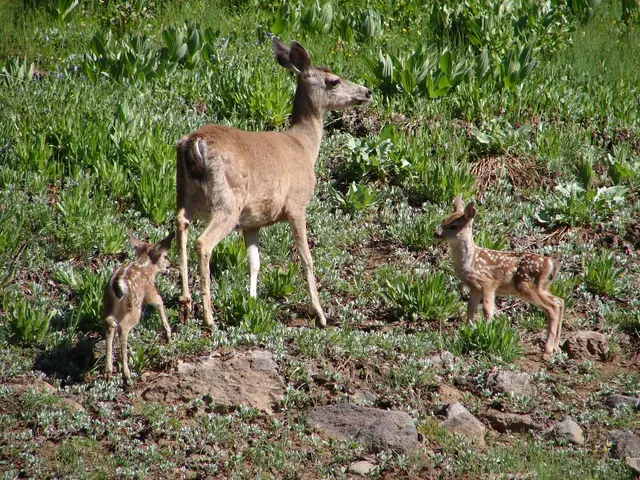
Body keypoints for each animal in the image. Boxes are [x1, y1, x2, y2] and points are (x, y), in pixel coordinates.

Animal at [103, 233, 174, 387]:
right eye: (165, 256)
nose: (169, 266)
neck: (147, 267)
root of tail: (117, 284)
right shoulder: (150, 291)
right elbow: (159, 302)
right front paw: (168, 334)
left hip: (108, 305)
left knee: (110, 323)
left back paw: (108, 371)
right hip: (134, 306)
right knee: (123, 327)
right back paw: (127, 374)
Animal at [175, 36, 372, 327]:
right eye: (334, 80)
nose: (367, 91)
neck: (304, 146)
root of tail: (194, 142)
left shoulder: (252, 221)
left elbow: (254, 262)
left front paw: (252, 302)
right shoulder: (297, 205)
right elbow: (306, 258)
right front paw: (320, 314)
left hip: (184, 193)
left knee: (180, 224)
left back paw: (185, 304)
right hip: (228, 201)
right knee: (203, 242)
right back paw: (209, 317)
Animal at [434, 194, 564, 361]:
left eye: (454, 226)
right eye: (443, 220)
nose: (436, 234)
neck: (470, 261)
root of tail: (551, 263)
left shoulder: (488, 282)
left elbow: (487, 309)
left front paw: (487, 331)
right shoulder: (474, 287)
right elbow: (470, 308)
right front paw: (467, 330)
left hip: (526, 285)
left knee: (552, 308)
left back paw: (547, 351)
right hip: (541, 287)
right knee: (559, 301)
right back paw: (555, 347)